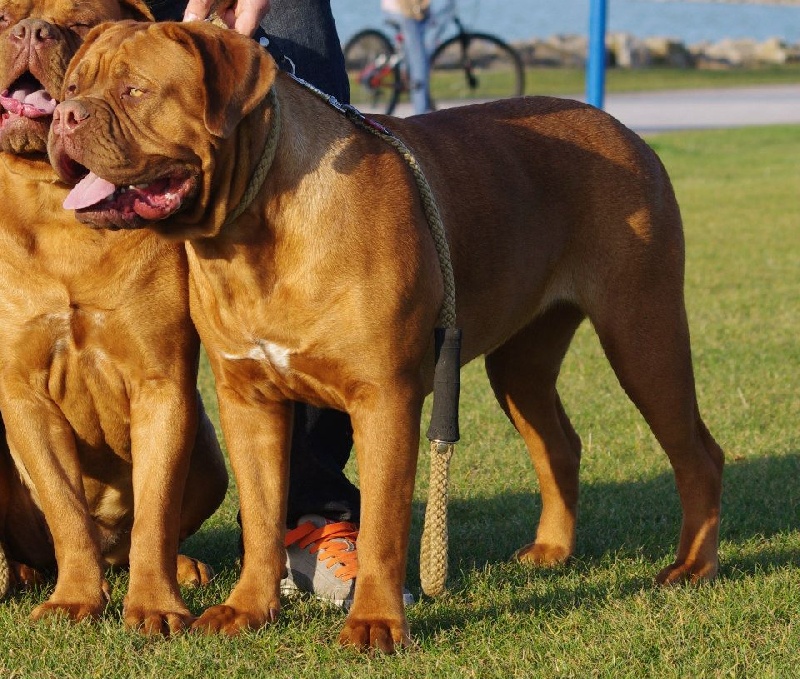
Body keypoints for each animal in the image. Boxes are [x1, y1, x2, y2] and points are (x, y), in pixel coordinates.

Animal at [0, 1, 228, 632]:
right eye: (2, 17)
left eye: (77, 22)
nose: (30, 31)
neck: (58, 207)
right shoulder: (22, 392)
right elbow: (64, 506)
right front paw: (75, 599)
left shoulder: (161, 385)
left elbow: (155, 509)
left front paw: (155, 606)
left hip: (210, 456)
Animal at [48, 19, 724, 648]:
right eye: (73, 87)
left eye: (135, 91)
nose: (64, 116)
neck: (253, 229)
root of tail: (622, 129)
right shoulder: (249, 401)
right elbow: (263, 520)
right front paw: (247, 609)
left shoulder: (385, 400)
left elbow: (381, 526)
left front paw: (374, 622)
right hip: (521, 365)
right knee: (558, 444)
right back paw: (553, 551)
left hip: (643, 332)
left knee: (696, 452)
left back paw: (693, 566)